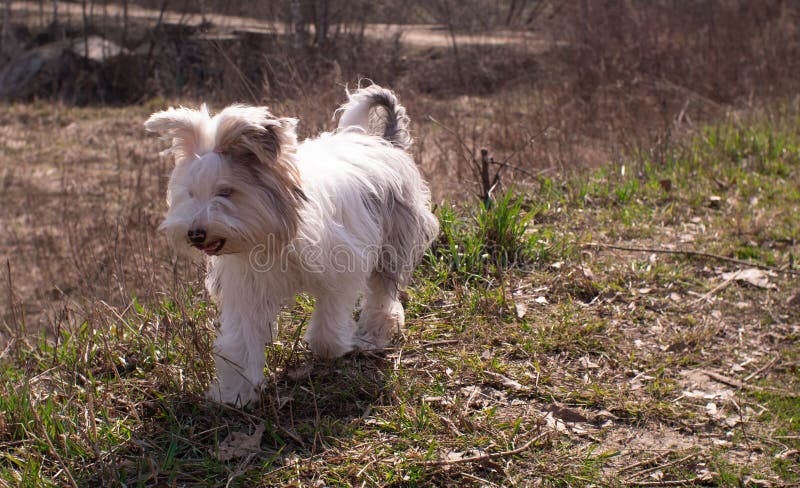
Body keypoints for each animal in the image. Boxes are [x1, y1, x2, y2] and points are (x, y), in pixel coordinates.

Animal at [147, 86, 440, 406]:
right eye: (190, 193)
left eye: (225, 191)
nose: (194, 234)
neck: (270, 238)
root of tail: (385, 143)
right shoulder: (247, 286)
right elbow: (241, 340)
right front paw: (235, 392)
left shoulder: (341, 267)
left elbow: (330, 313)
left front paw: (331, 347)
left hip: (391, 243)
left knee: (381, 292)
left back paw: (374, 333)